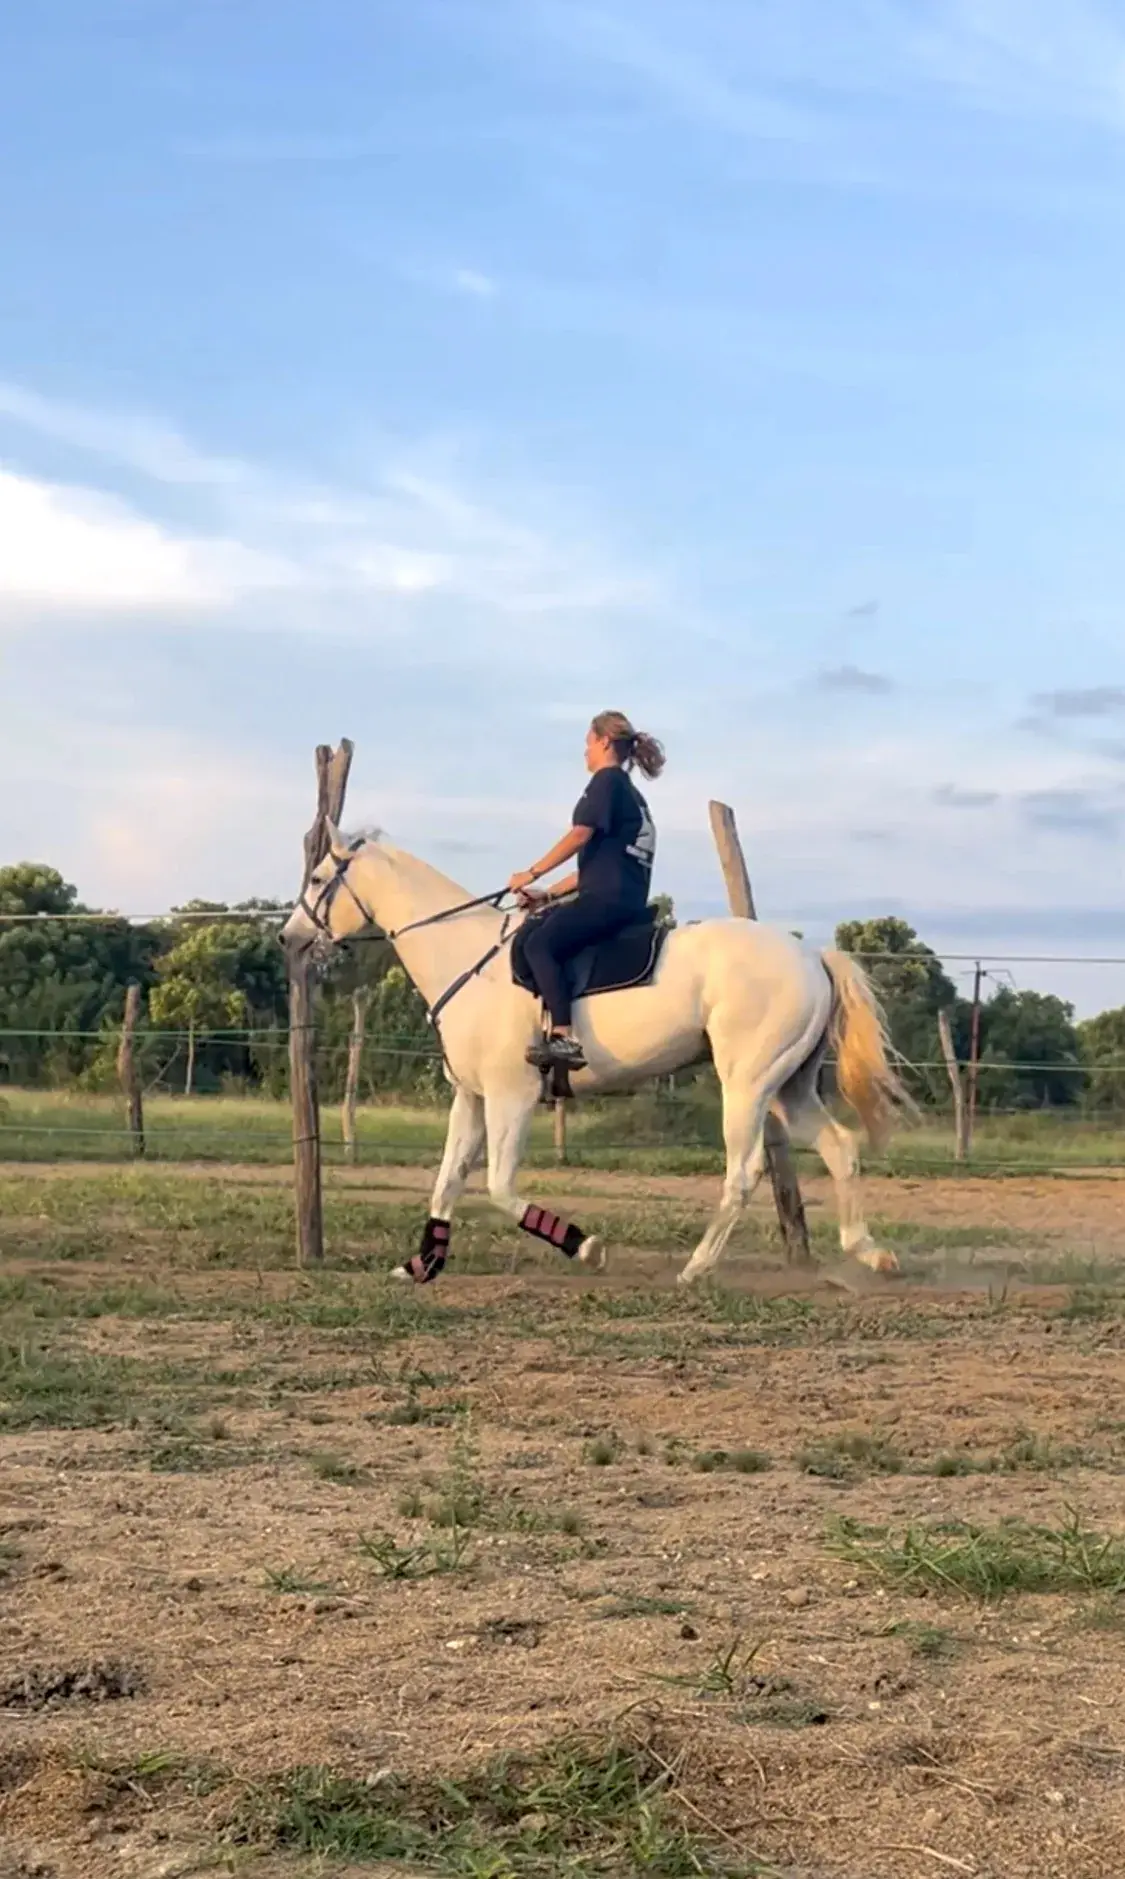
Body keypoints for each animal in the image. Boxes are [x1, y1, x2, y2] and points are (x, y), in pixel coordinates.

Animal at [280, 830, 908, 1287]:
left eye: (318, 878)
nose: (289, 938)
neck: (465, 955)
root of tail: (811, 956)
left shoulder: (511, 1097)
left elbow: (499, 1188)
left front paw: (587, 1248)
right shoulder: (472, 1097)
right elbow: (447, 1182)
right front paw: (423, 1264)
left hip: (748, 1084)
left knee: (745, 1170)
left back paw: (697, 1267)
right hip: (788, 1085)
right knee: (840, 1147)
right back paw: (870, 1254)